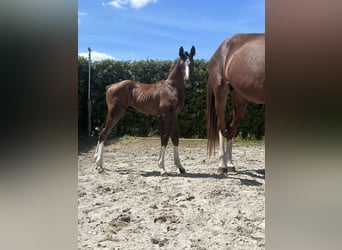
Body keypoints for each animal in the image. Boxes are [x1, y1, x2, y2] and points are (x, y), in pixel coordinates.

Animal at [94, 46, 195, 176]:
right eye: (182, 65)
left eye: (192, 63)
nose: (187, 81)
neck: (171, 87)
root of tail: (110, 86)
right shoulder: (165, 115)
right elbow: (165, 137)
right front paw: (162, 168)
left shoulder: (174, 115)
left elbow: (175, 137)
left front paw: (180, 167)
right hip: (115, 113)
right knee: (103, 132)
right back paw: (99, 165)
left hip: (117, 113)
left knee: (102, 130)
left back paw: (98, 163)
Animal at [206, 33, 264, 174]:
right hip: (221, 92)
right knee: (222, 126)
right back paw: (222, 165)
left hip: (240, 99)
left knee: (231, 128)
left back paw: (230, 164)